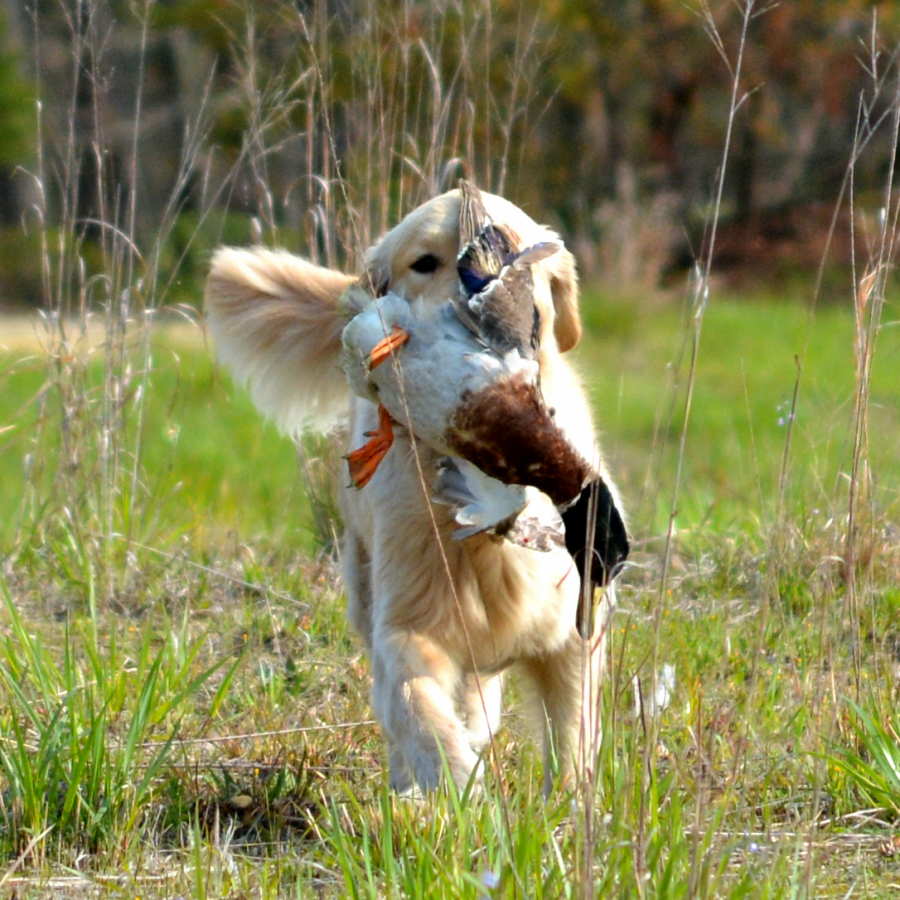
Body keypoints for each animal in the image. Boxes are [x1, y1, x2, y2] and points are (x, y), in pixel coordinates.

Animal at [204, 190, 624, 796]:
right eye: (423, 262)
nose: (469, 302)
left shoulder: (568, 640)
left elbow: (571, 739)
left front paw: (566, 806)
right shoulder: (405, 628)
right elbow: (417, 710)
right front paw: (458, 789)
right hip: (366, 582)